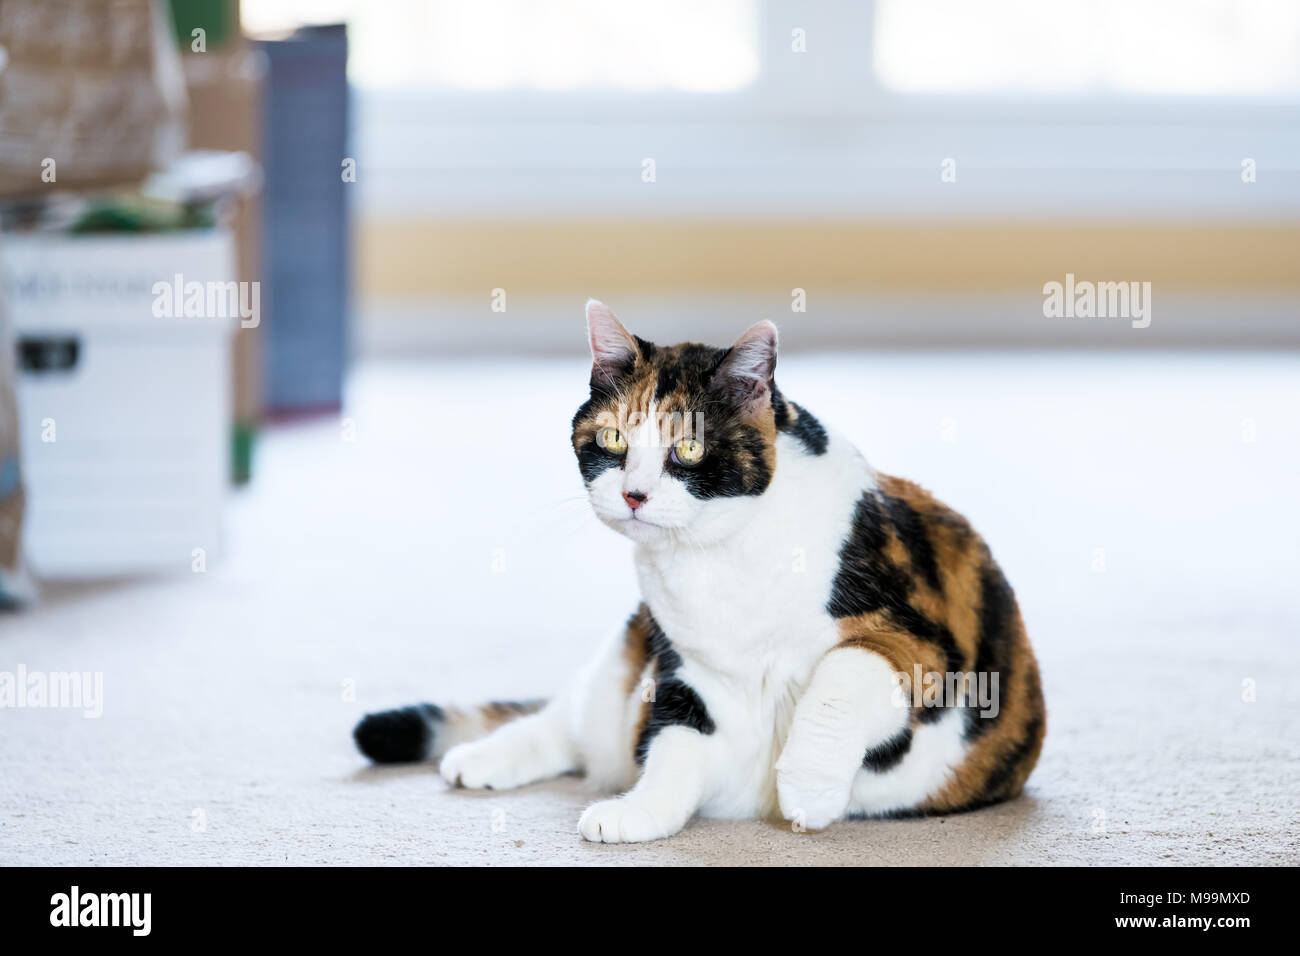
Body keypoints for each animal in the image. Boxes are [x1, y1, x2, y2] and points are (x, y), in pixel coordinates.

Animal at [356, 300, 1045, 842]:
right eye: (612, 440)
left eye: (688, 447)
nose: (633, 494)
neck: (717, 558)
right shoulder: (685, 670)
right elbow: (674, 744)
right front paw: (638, 813)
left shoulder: (920, 640)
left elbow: (839, 681)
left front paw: (807, 791)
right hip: (619, 668)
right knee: (565, 722)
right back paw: (479, 760)